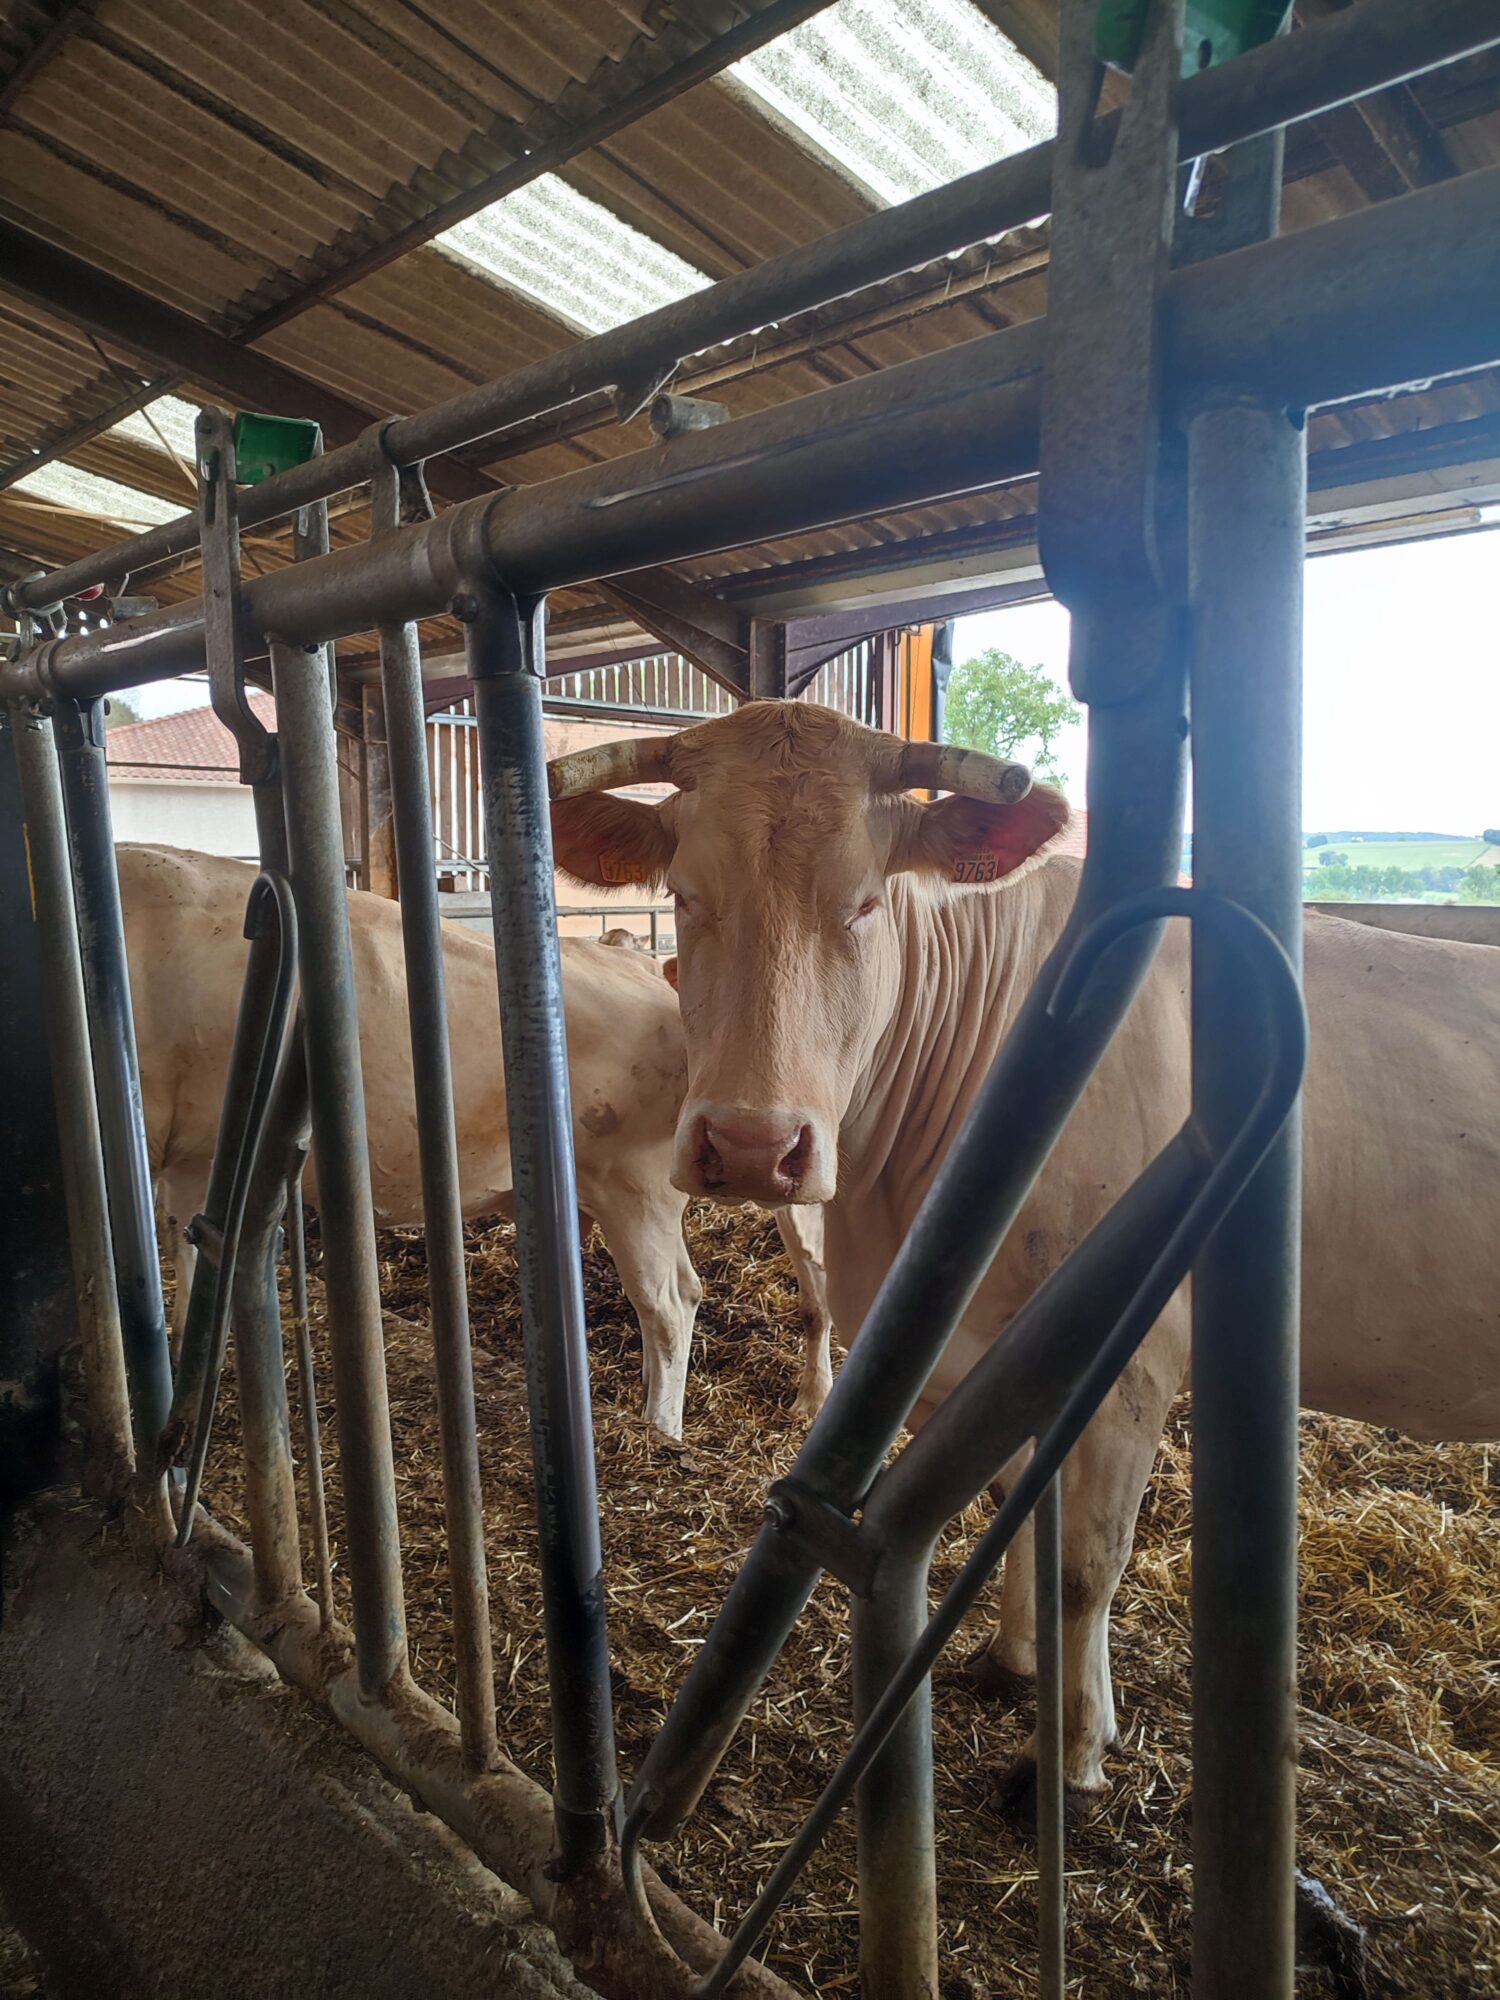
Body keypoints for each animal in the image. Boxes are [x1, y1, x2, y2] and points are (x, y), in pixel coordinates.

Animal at [548, 699, 1500, 1801]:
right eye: (688, 896)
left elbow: (1089, 1558)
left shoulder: (1134, 1358)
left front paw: (1075, 1750)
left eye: (865, 902)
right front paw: (1011, 1658)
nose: (750, 1145)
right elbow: (1016, 1501)